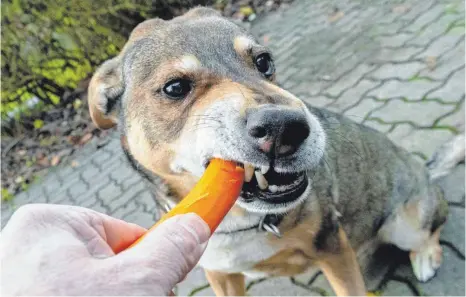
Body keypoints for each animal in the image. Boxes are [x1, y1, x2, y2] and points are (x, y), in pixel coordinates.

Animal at [86, 7, 462, 296]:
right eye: (175, 87)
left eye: (264, 61)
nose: (285, 127)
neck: (240, 222)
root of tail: (426, 173)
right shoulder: (220, 274)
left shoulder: (333, 247)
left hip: (406, 223)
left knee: (432, 229)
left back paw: (425, 257)